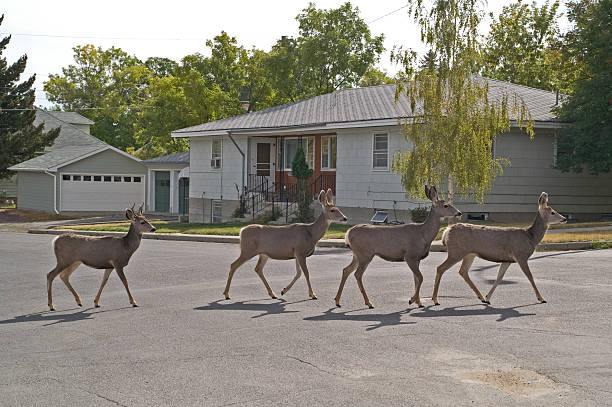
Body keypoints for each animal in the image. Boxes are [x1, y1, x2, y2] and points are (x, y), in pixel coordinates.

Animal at [430, 192, 568, 306]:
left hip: (469, 254)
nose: (565, 219)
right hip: (456, 251)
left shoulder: (507, 259)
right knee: (440, 268)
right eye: (553, 212)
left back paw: (481, 298)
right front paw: (541, 298)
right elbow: (530, 276)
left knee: (463, 271)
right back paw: (435, 299)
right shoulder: (520, 255)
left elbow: (499, 278)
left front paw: (488, 297)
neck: (530, 237)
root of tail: (446, 231)